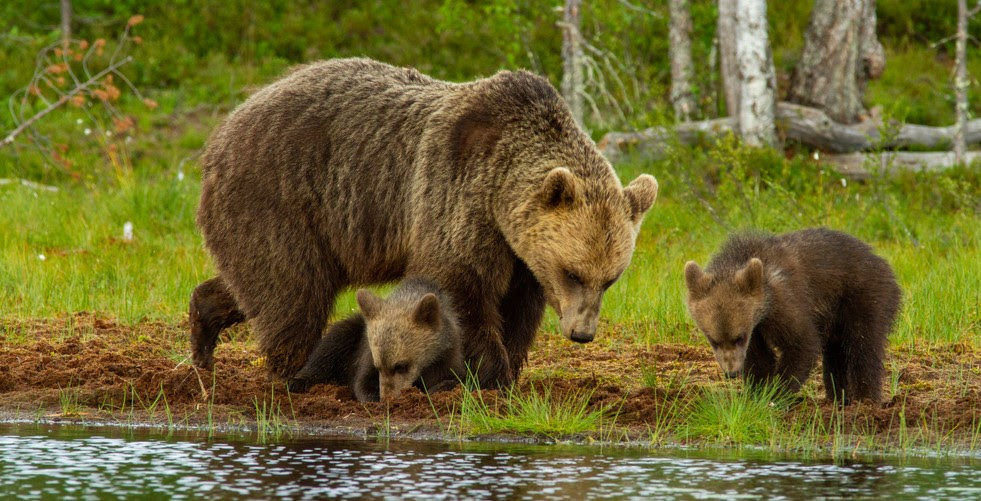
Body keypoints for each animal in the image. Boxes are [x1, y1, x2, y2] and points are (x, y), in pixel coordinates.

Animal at [189, 58, 660, 386]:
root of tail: (222, 131)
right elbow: (461, 285)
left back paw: (203, 338)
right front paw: (489, 375)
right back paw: (297, 371)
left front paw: (507, 368)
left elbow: (519, 306)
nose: (582, 333)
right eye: (573, 272)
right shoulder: (458, 196)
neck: (500, 190)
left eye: (611, 279)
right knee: (292, 288)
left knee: (257, 283)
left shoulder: (520, 250)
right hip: (280, 197)